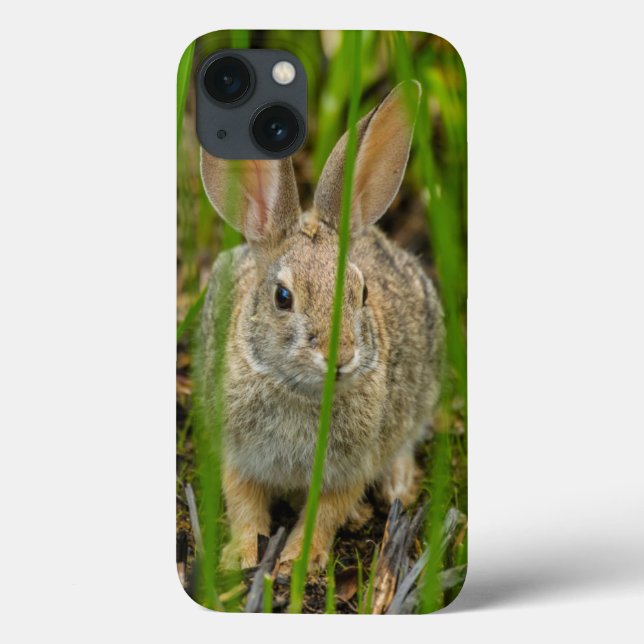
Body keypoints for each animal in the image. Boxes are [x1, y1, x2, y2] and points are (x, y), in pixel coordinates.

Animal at [198, 80, 445, 572]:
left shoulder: (350, 466)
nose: (341, 356)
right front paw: (241, 557)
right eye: (282, 298)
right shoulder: (237, 454)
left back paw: (398, 486)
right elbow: (244, 503)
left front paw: (297, 564)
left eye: (362, 293)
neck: (301, 391)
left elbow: (326, 512)